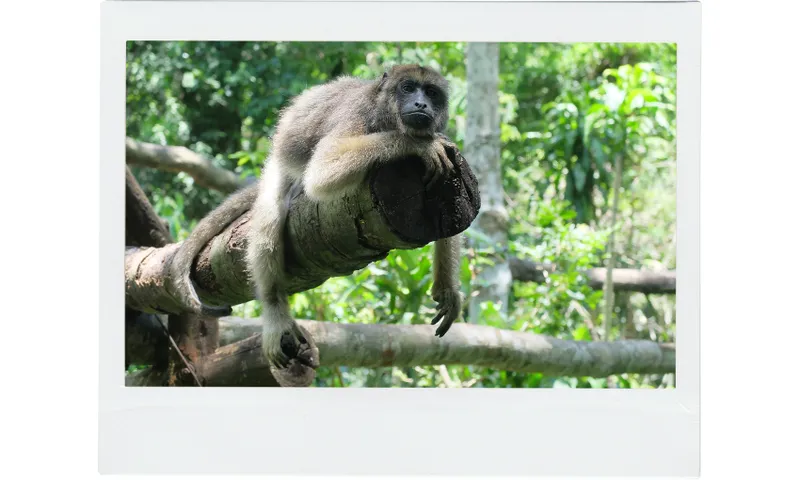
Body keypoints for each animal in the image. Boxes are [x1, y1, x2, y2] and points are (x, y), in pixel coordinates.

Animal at [168, 64, 465, 369]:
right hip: (278, 167)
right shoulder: (358, 115)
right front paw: (417, 146)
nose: (421, 104)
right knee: (269, 220)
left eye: (431, 93)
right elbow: (323, 170)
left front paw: (447, 289)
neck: (388, 116)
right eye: (408, 88)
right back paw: (275, 313)